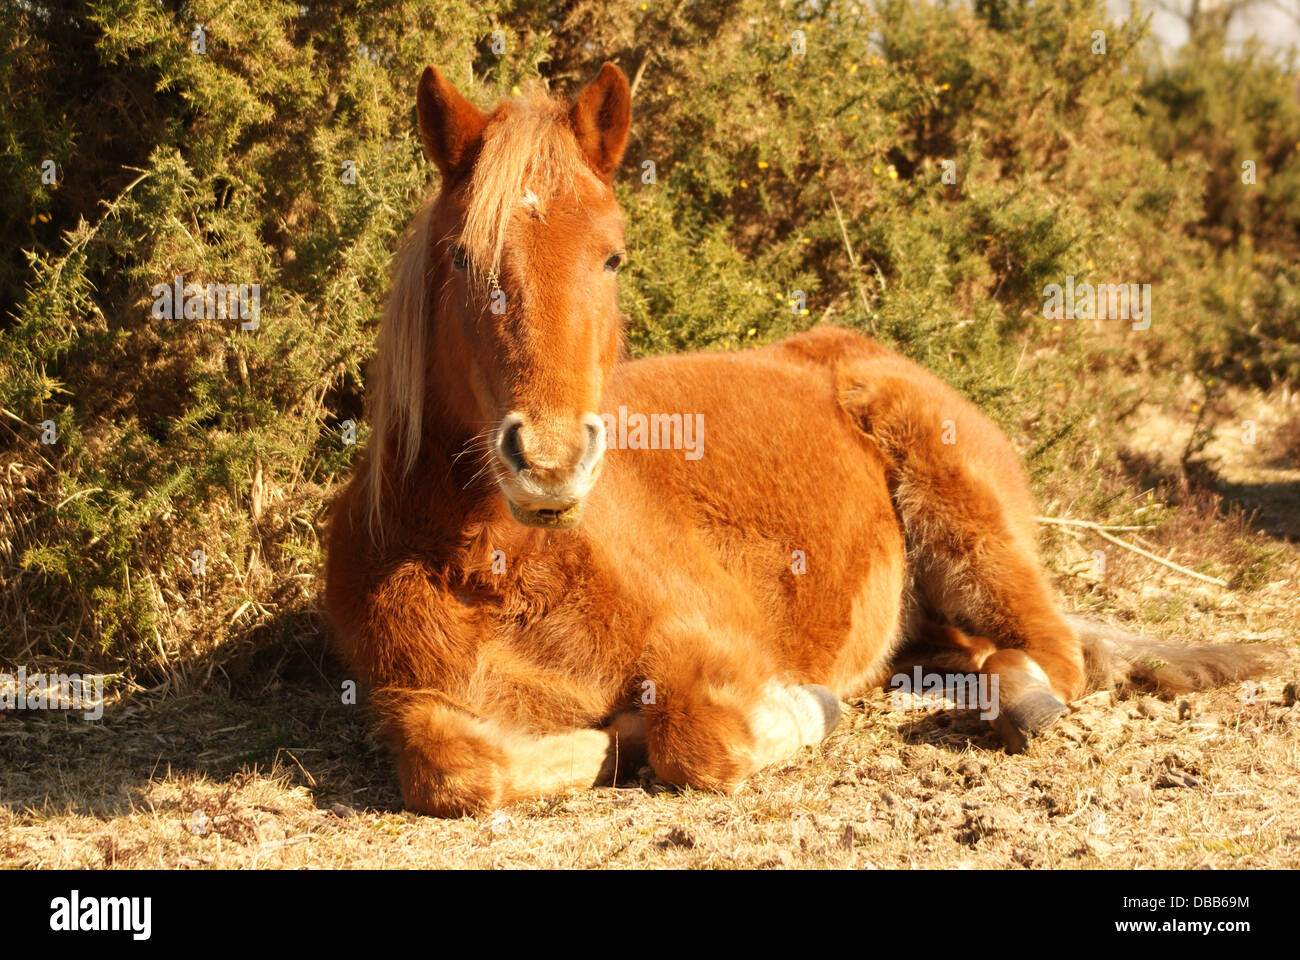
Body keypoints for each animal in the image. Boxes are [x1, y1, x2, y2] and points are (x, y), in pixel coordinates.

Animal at [323, 62, 1276, 817]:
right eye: (460, 258)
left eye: (613, 257)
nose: (551, 466)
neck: (491, 568)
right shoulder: (418, 703)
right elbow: (454, 770)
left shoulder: (711, 653)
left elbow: (698, 739)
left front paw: (798, 713)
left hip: (971, 535)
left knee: (1049, 655)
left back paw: (1015, 705)